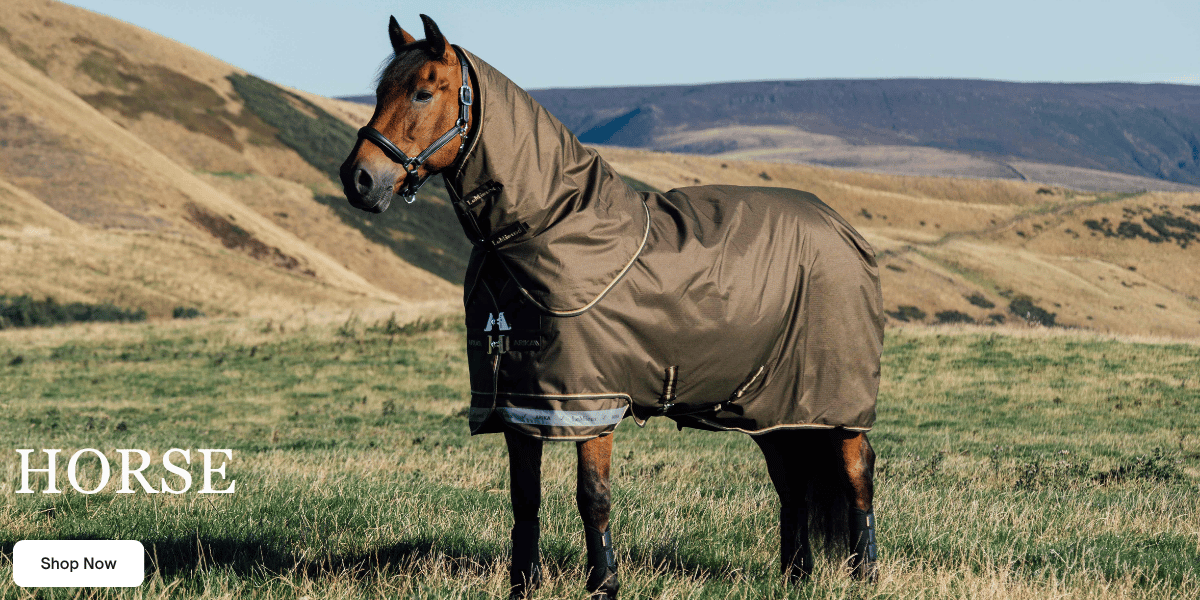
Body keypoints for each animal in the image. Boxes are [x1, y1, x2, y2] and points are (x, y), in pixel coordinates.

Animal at [339, 15, 883, 599]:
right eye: (380, 91)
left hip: (836, 399)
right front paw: (523, 584)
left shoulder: (592, 403)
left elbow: (592, 497)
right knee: (792, 480)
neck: (551, 225)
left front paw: (604, 583)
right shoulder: (519, 405)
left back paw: (866, 572)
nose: (358, 179)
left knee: (857, 471)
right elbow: (524, 499)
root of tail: (842, 228)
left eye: (422, 92)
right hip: (772, 402)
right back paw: (795, 575)